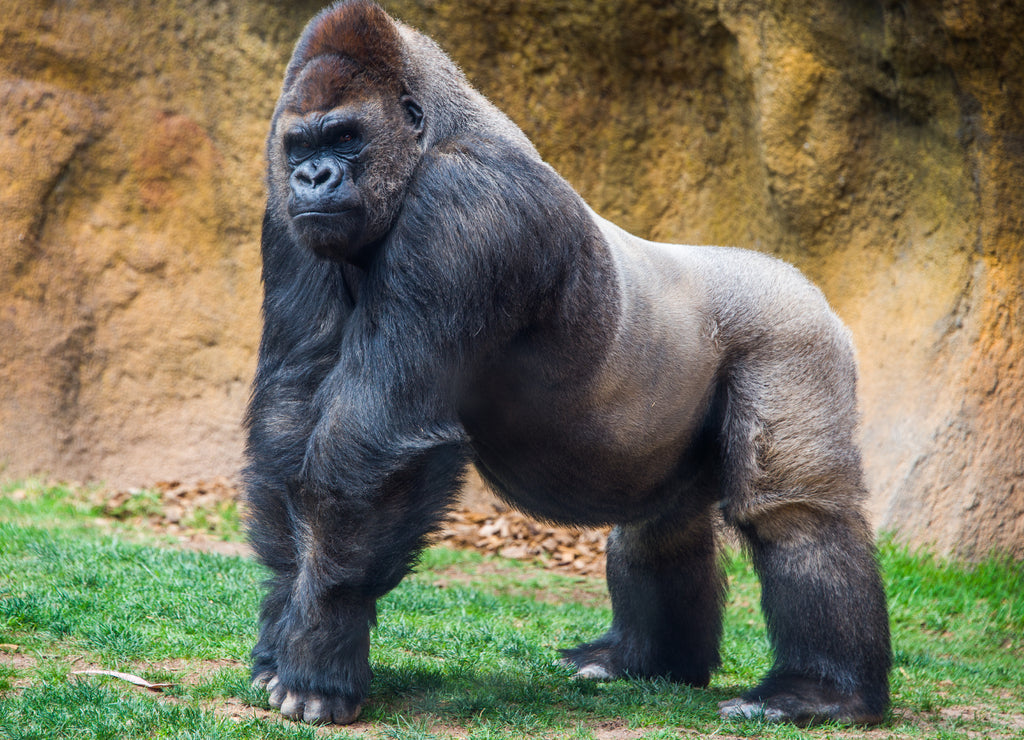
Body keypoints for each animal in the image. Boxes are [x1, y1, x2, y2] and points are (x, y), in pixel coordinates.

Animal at [243, 0, 891, 727]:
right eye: (301, 146)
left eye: (346, 137)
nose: (313, 177)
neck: (435, 133)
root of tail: (801, 281)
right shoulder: (286, 218)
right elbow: (289, 417)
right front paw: (282, 630)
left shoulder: (464, 210)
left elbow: (375, 441)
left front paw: (320, 650)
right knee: (660, 526)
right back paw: (645, 661)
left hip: (793, 334)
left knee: (795, 512)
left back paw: (821, 691)